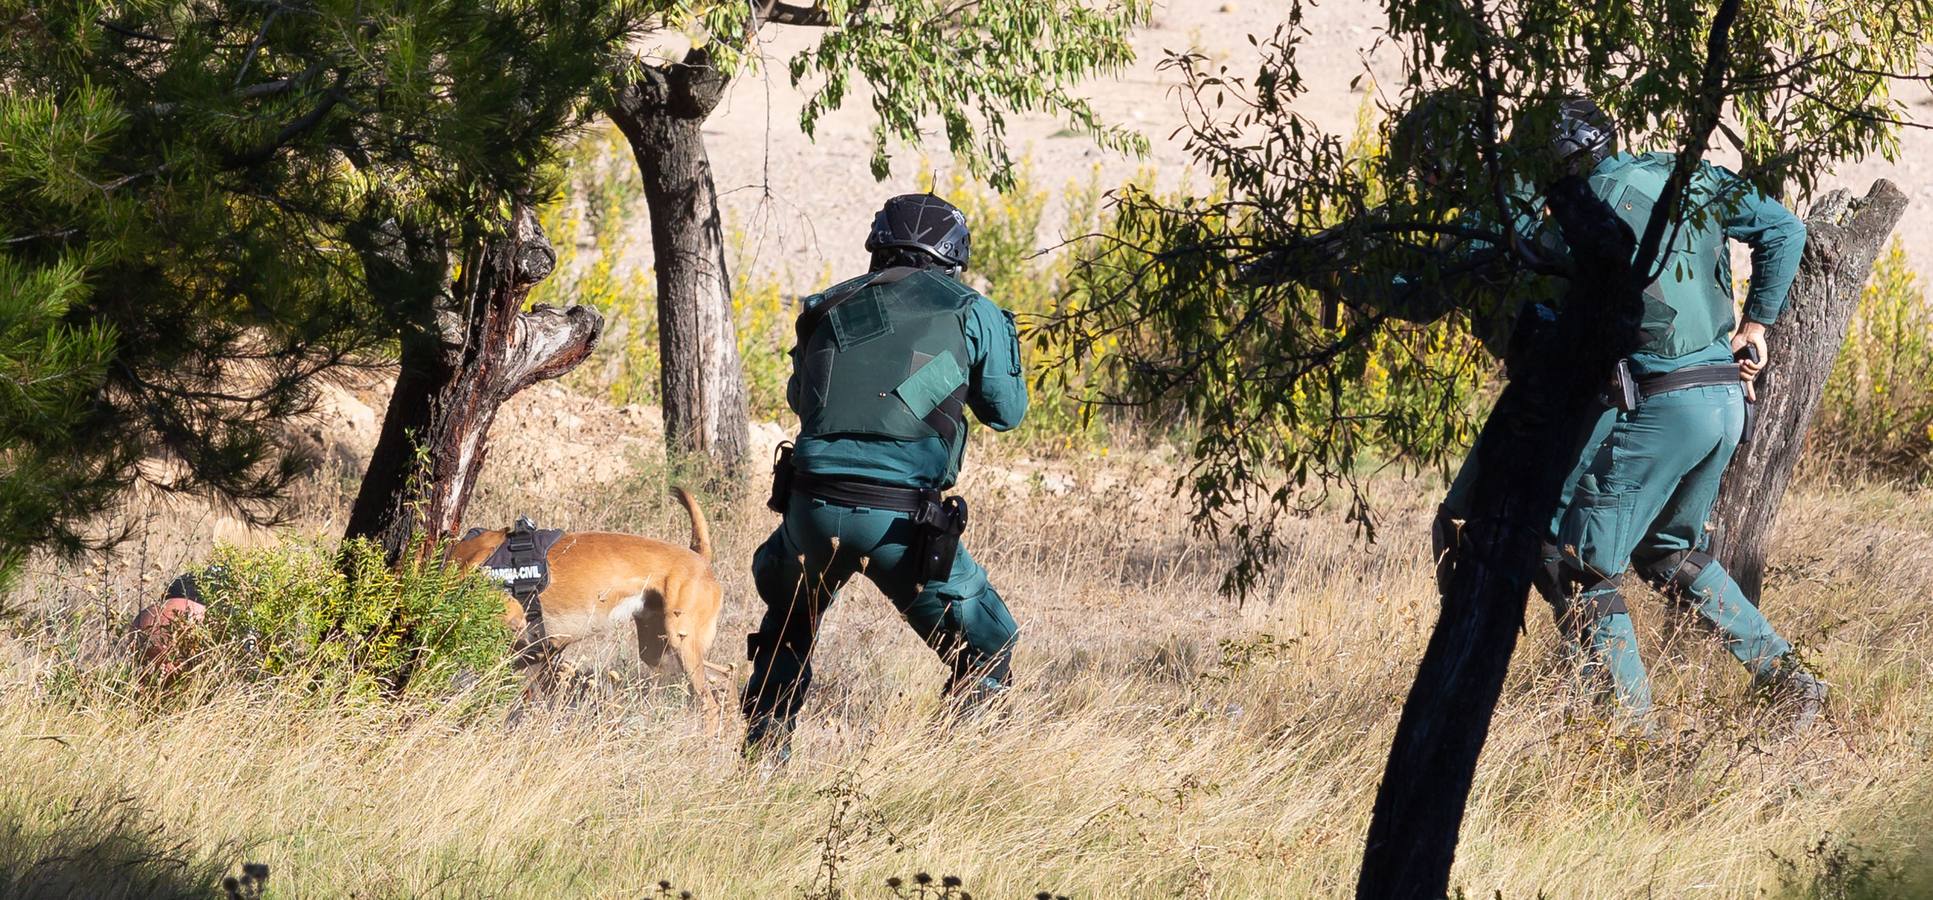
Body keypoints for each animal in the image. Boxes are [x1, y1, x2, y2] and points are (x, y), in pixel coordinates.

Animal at [448, 488, 726, 733]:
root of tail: (701, 559)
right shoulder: (532, 655)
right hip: (660, 652)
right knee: (725, 675)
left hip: (680, 644)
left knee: (710, 704)